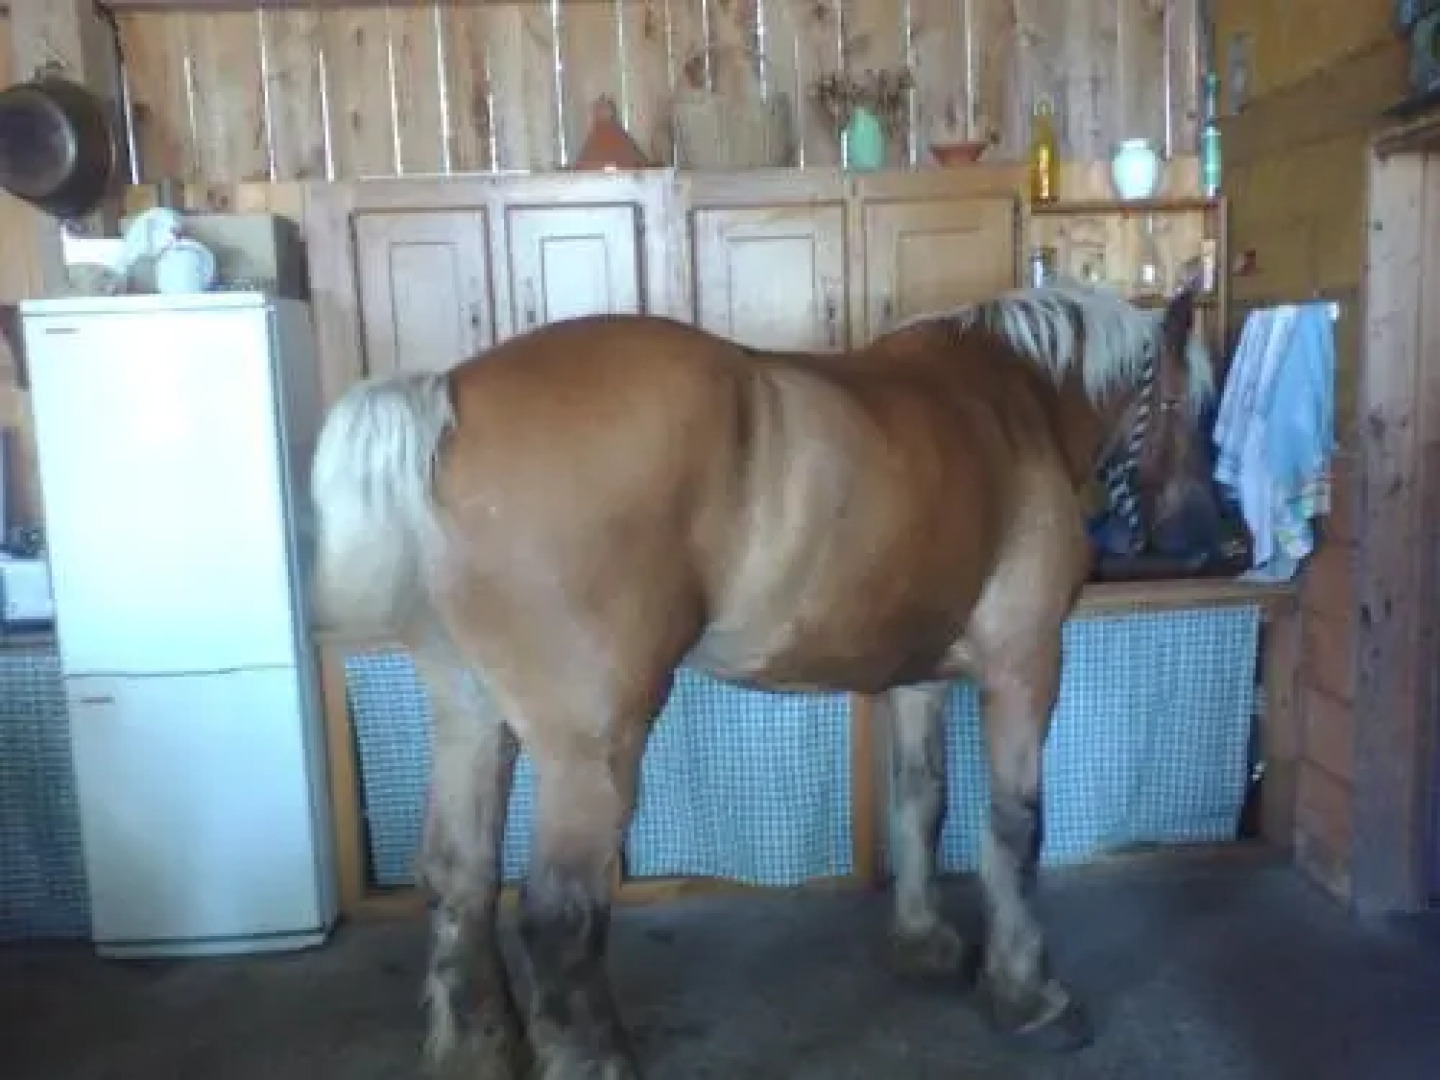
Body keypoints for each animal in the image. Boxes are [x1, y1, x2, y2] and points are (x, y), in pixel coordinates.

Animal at [309, 280, 1220, 1080]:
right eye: (1196, 406)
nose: (1214, 533)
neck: (1010, 403)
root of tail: (448, 396)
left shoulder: (918, 678)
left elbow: (920, 804)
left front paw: (923, 942)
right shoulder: (1026, 666)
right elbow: (1015, 828)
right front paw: (1029, 992)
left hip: (470, 717)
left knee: (457, 877)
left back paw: (474, 1050)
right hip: (589, 748)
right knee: (558, 914)